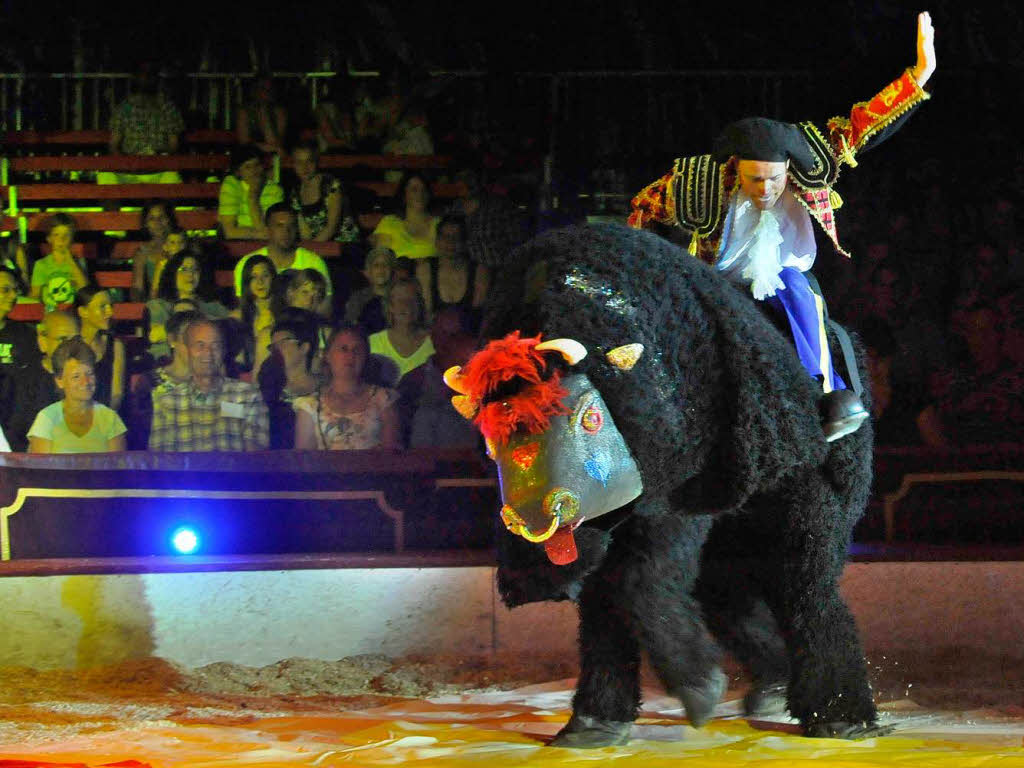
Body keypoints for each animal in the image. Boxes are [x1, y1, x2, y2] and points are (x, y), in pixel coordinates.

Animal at [454, 225, 880, 749]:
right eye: (491, 437)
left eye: (589, 418)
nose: (533, 516)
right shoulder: (610, 520)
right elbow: (606, 600)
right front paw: (594, 722)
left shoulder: (679, 495)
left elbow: (639, 583)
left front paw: (699, 688)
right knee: (730, 596)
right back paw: (774, 684)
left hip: (810, 502)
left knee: (805, 585)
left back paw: (839, 713)